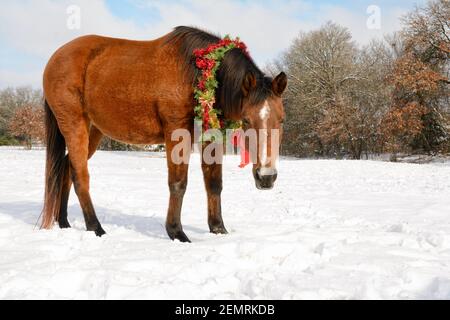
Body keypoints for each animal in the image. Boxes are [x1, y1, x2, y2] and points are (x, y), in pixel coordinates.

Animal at [43, 26, 288, 242]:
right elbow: (178, 183)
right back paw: (96, 227)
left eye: (282, 119)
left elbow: (214, 182)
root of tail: (55, 58)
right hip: (75, 125)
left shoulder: (209, 136)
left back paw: (63, 221)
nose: (266, 177)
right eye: (246, 120)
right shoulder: (176, 132)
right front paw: (176, 232)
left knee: (66, 168)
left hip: (93, 130)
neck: (197, 72)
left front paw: (218, 228)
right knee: (80, 176)